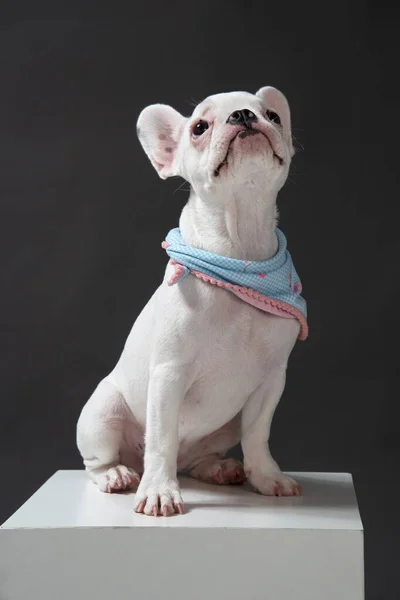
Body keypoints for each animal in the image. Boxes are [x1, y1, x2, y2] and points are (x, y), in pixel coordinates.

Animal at [76, 84, 308, 516]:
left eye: (272, 115)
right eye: (199, 127)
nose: (244, 115)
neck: (240, 256)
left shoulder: (271, 380)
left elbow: (258, 433)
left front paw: (266, 477)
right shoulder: (170, 374)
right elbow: (161, 439)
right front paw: (159, 491)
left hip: (223, 427)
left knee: (197, 457)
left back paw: (218, 468)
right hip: (102, 411)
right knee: (102, 460)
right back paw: (117, 474)